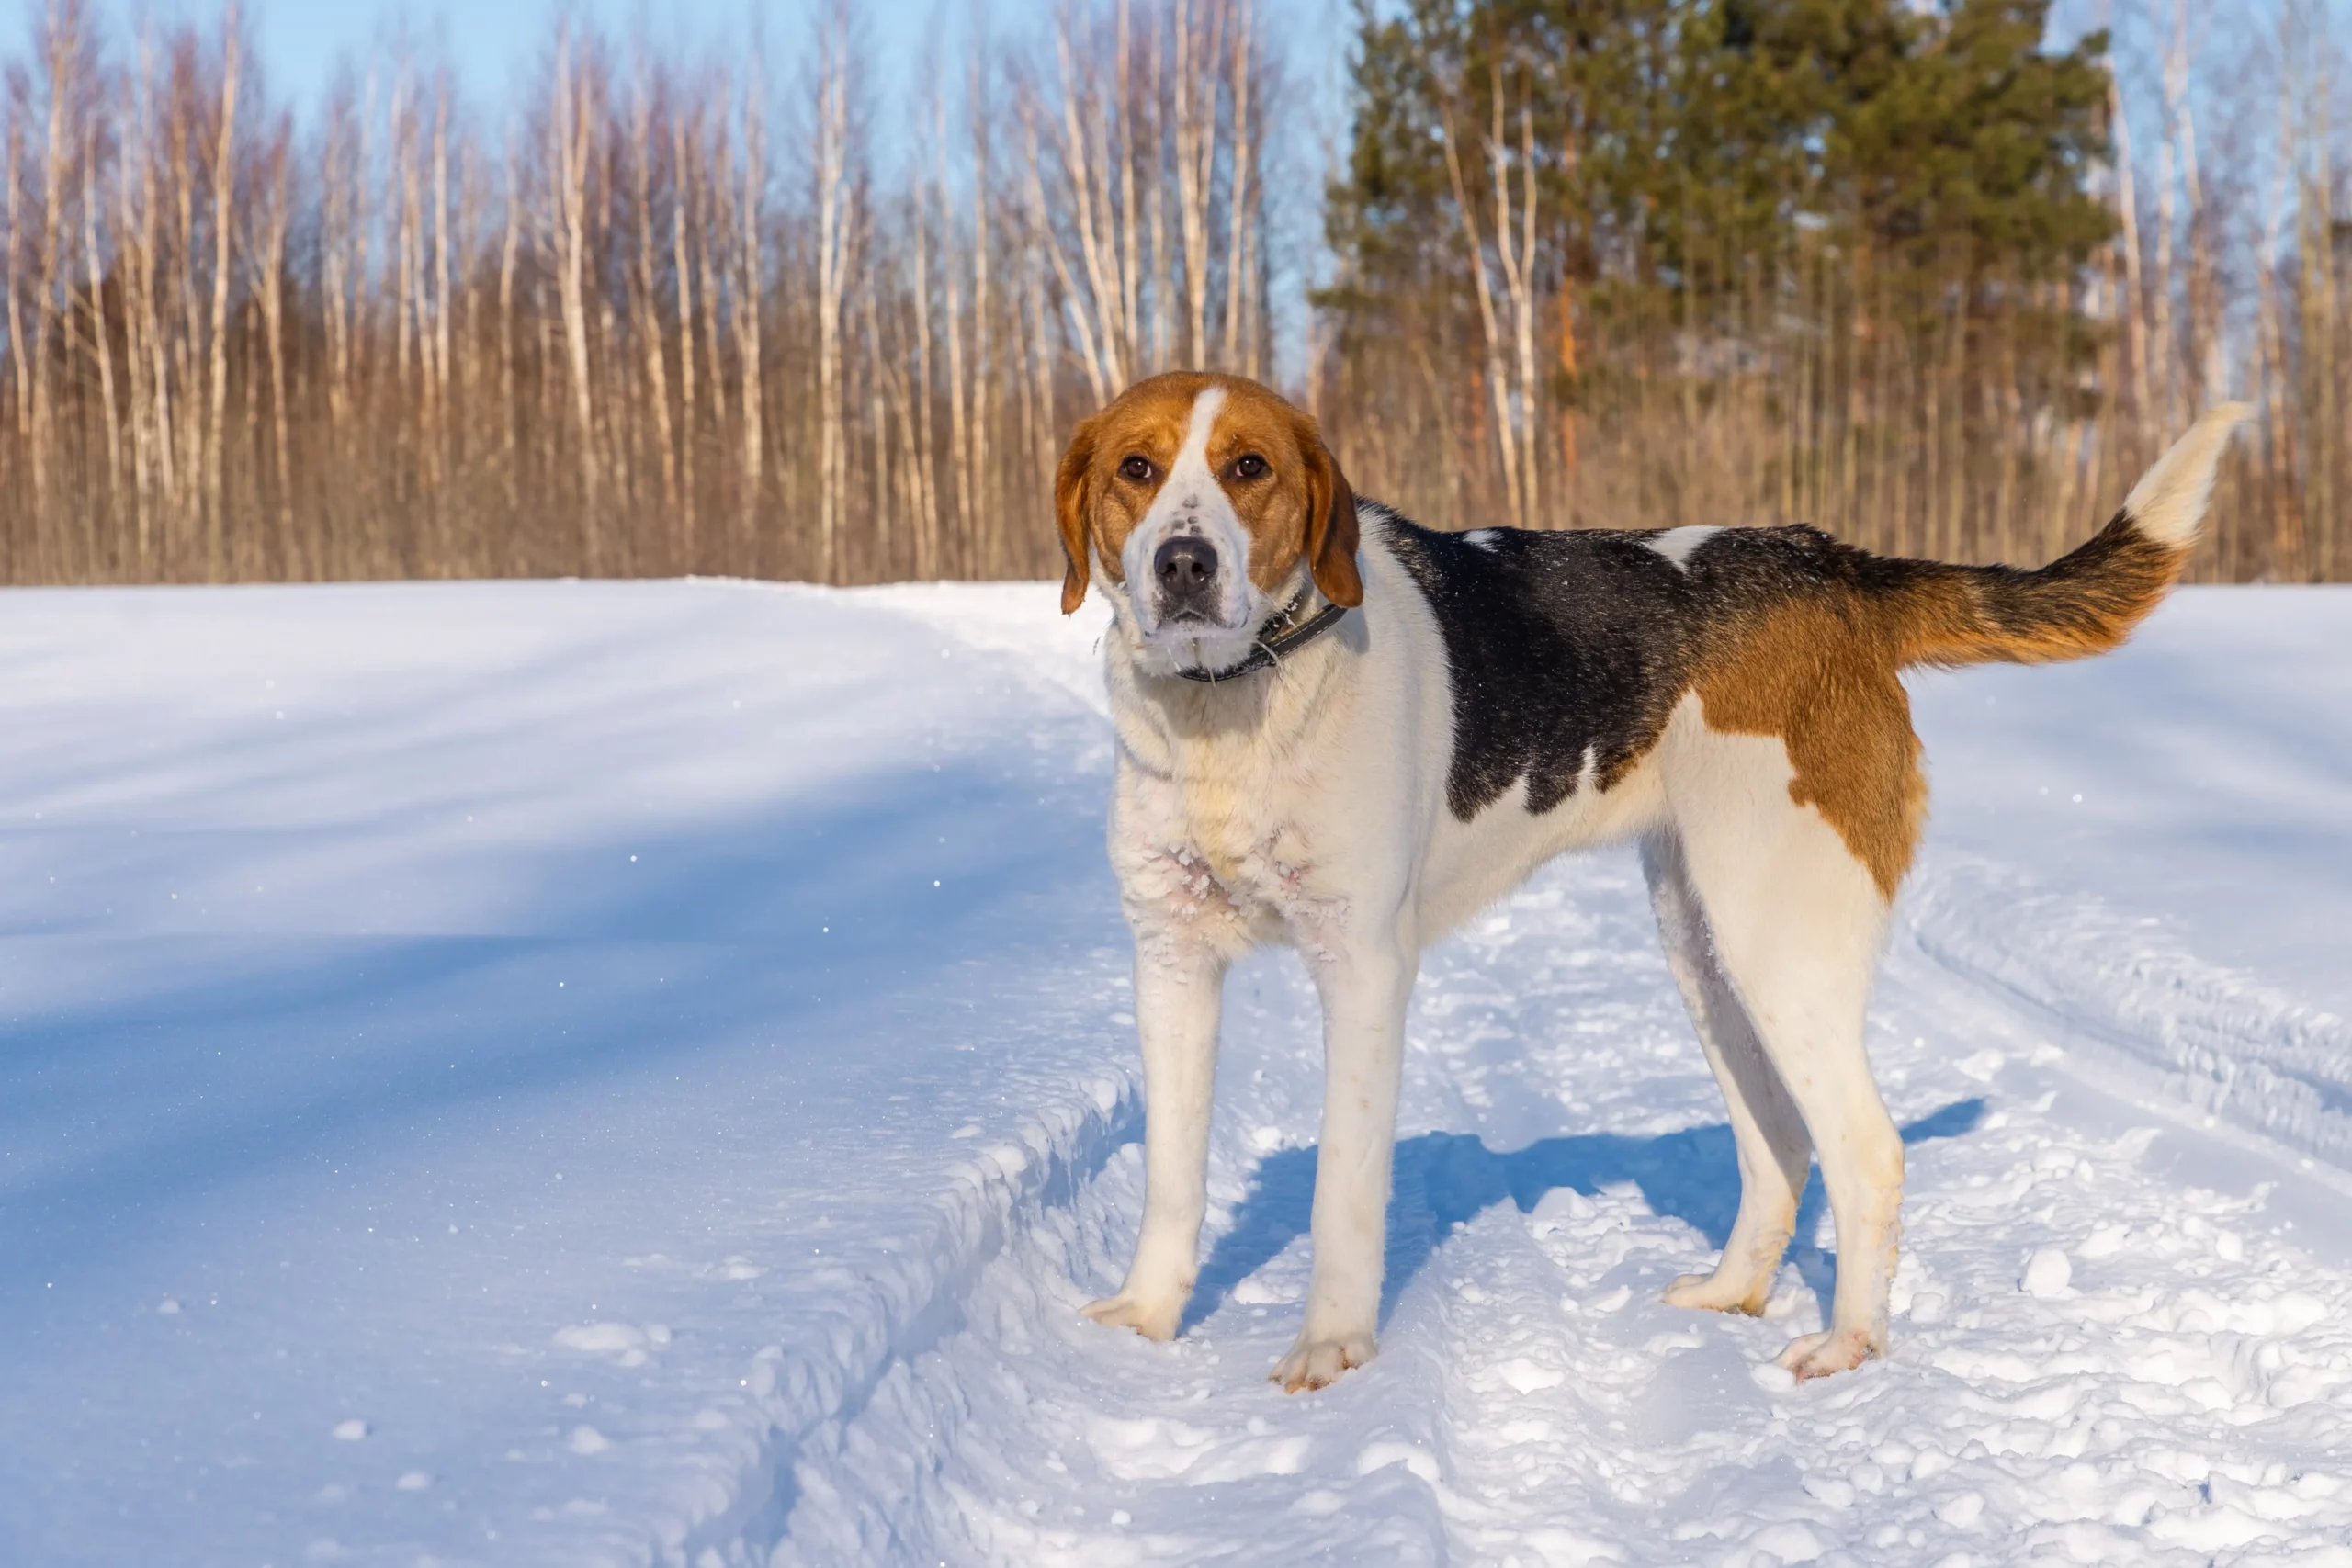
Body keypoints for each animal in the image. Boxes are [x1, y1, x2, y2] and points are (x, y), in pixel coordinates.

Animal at [1058, 371, 2248, 1401]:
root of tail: (1826, 562)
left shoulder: (1361, 969)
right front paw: (1146, 1322)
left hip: (1776, 936)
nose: (1182, 562)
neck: (1231, 702)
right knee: (1779, 1146)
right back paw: (1732, 1293)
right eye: (1135, 469)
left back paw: (1848, 1346)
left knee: (1865, 1150)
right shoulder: (1168, 962)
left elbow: (1342, 1191)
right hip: (1702, 945)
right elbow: (1172, 1176)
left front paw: (1330, 1350)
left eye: (1249, 467)